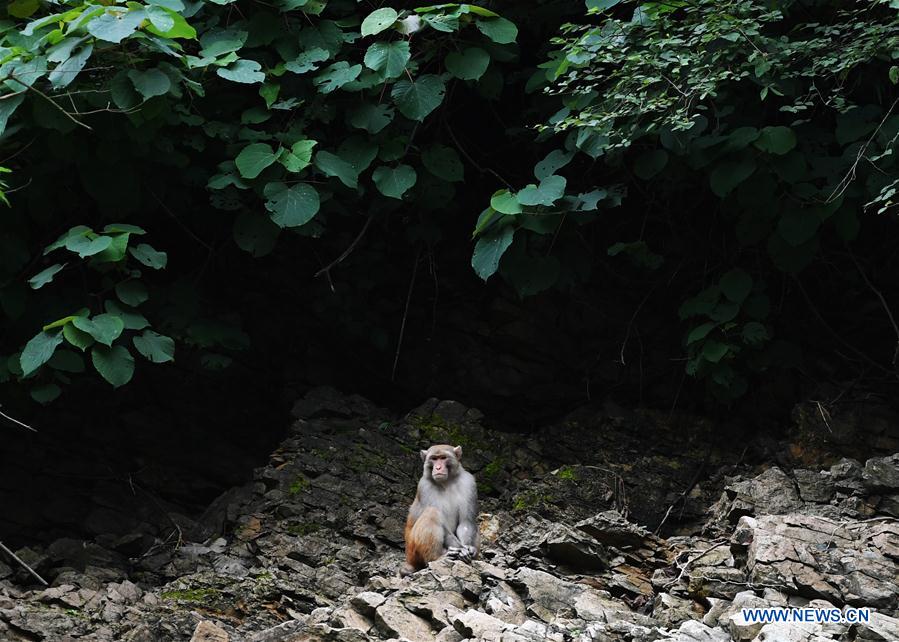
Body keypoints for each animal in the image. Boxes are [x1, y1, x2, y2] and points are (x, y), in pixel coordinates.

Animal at [404, 442, 482, 572]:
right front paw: (462, 550)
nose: (438, 468)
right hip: (412, 552)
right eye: (434, 459)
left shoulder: (468, 482)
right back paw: (438, 556)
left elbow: (466, 522)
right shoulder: (424, 486)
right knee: (431, 513)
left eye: (443, 458)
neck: (447, 482)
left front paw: (468, 547)